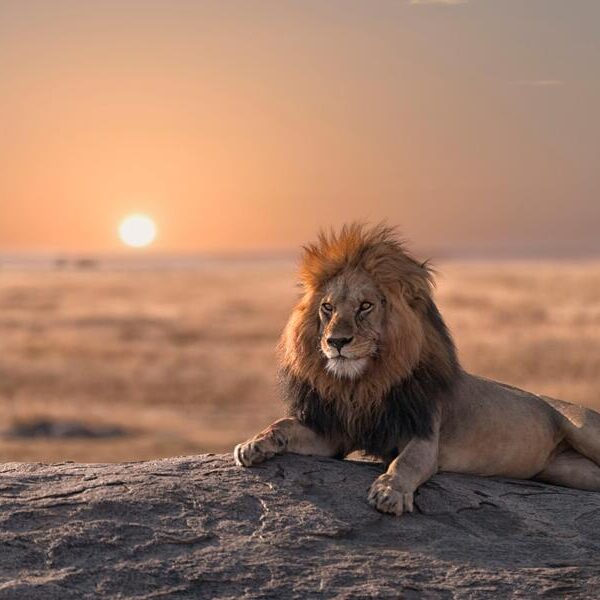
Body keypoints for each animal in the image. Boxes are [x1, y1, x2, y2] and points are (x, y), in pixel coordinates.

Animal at [233, 225, 600, 516]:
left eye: (365, 306)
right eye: (327, 308)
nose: (336, 341)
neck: (363, 384)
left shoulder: (423, 436)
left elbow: (405, 462)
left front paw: (389, 492)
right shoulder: (336, 434)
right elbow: (283, 425)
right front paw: (254, 444)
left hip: (583, 428)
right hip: (569, 472)